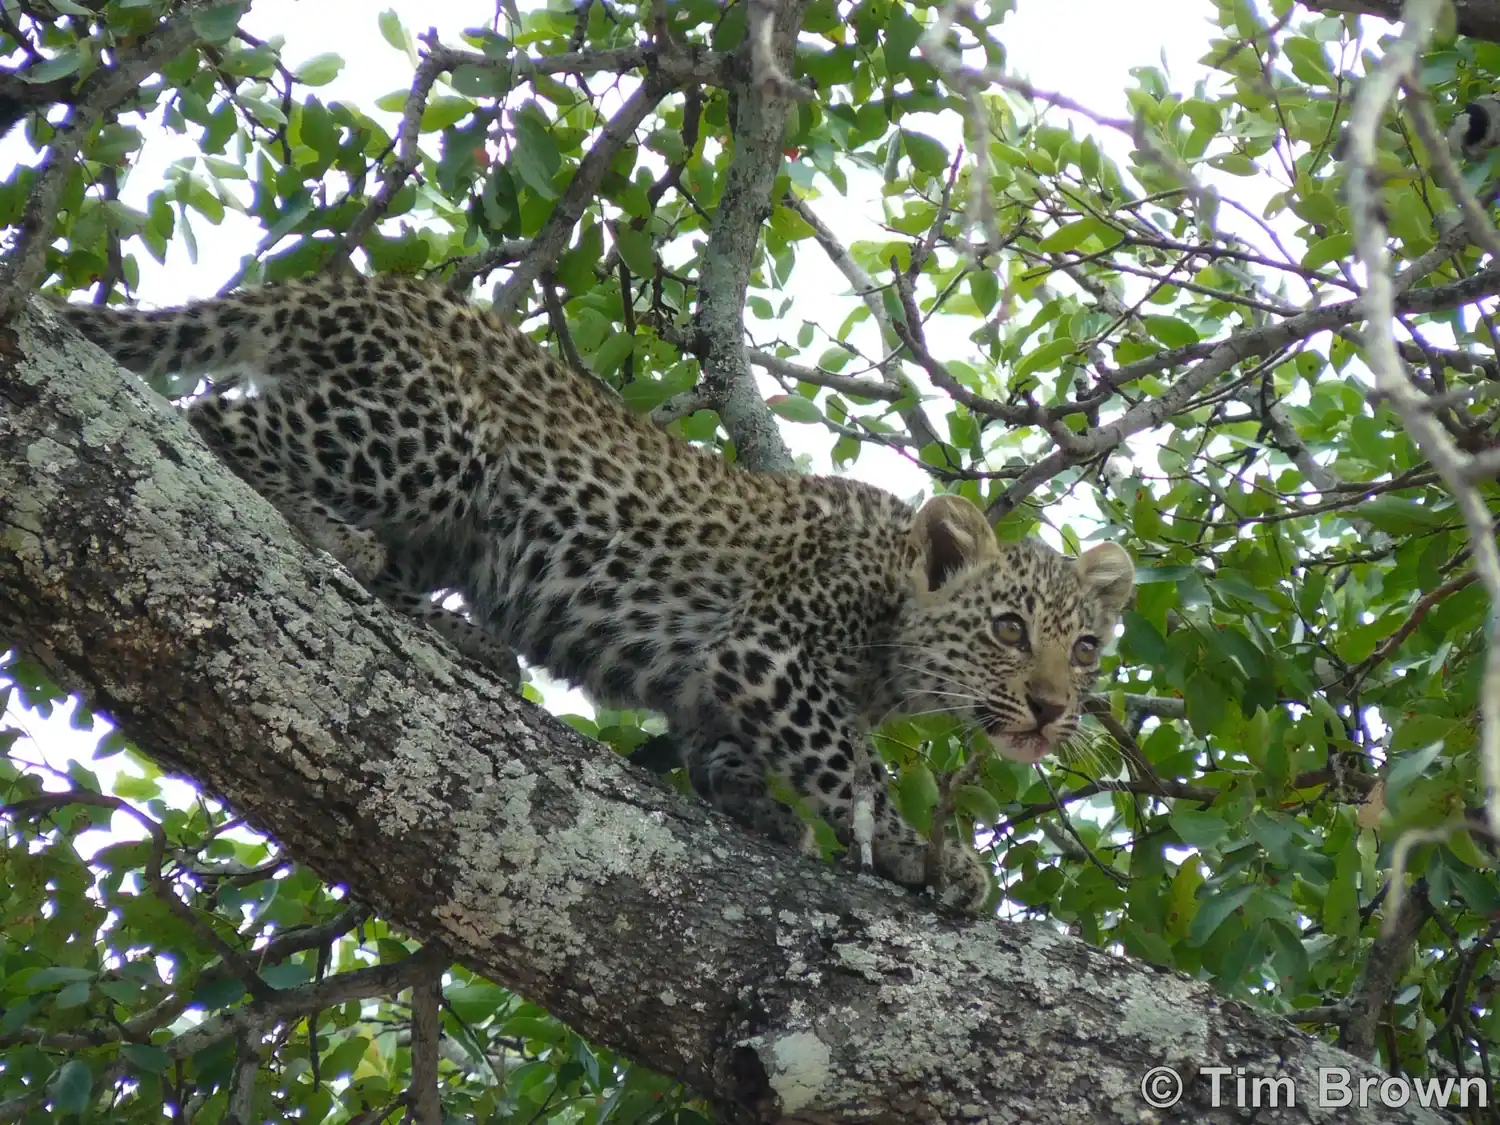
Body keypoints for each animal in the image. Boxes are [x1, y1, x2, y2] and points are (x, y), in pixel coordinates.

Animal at [55, 272, 1136, 911]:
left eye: (1084, 649)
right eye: (1009, 628)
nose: (1052, 709)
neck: (894, 612)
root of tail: (333, 280)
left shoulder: (718, 689)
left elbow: (725, 753)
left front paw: (762, 810)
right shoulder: (772, 652)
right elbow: (854, 766)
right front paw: (928, 857)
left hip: (447, 517)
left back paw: (462, 637)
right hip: (435, 441)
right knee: (213, 420)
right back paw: (337, 538)